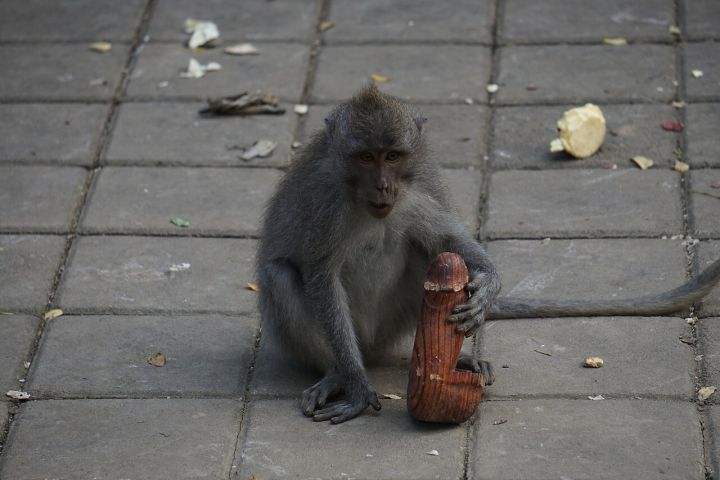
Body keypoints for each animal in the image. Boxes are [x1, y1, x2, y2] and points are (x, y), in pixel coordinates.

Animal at [256, 84, 720, 424]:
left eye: (392, 155)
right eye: (366, 157)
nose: (383, 186)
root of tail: (372, 346)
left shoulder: (417, 190)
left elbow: (449, 238)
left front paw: (488, 289)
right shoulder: (326, 205)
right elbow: (321, 277)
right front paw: (354, 385)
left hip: (395, 319)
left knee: (426, 252)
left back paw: (459, 358)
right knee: (282, 276)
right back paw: (337, 372)